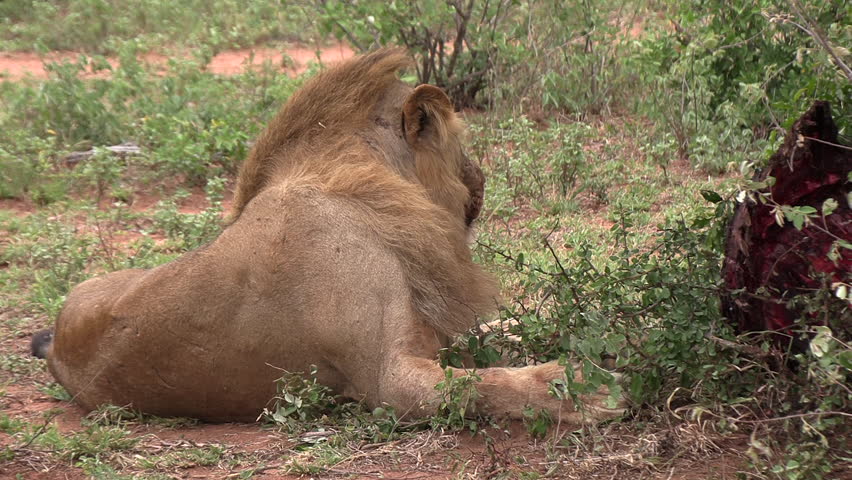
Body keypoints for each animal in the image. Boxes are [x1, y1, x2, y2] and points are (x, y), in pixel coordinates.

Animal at [38, 48, 624, 424]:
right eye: (461, 142)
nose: (482, 176)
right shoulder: (390, 382)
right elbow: (489, 386)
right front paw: (590, 390)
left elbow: (508, 332)